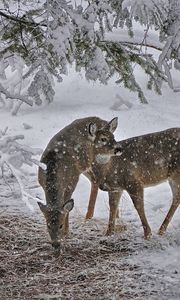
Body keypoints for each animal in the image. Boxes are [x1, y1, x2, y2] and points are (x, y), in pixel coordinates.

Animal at [37, 116, 121, 250]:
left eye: (60, 225)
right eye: (48, 225)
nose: (56, 244)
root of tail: (104, 121)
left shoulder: (72, 181)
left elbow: (67, 206)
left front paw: (66, 232)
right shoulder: (42, 183)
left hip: (98, 160)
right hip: (86, 166)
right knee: (95, 181)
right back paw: (93, 216)